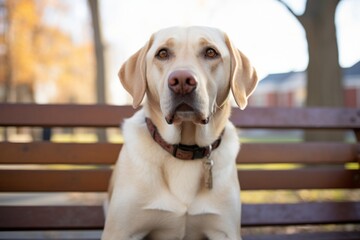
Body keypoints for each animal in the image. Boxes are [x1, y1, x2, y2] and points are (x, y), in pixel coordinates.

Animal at [102, 26, 258, 240]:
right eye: (162, 53)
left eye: (211, 52)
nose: (182, 81)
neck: (185, 148)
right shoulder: (120, 231)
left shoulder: (225, 231)